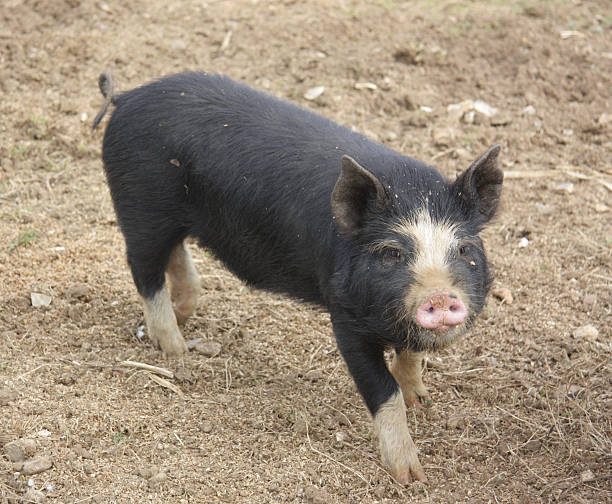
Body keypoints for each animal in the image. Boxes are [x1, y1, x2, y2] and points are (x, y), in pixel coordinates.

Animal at [92, 71, 502, 484]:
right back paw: (177, 350)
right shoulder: (344, 316)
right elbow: (384, 390)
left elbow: (411, 354)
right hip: (139, 208)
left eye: (464, 249)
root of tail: (127, 98)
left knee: (175, 255)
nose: (440, 296)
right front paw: (410, 477)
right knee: (144, 269)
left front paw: (423, 400)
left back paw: (184, 316)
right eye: (391, 253)